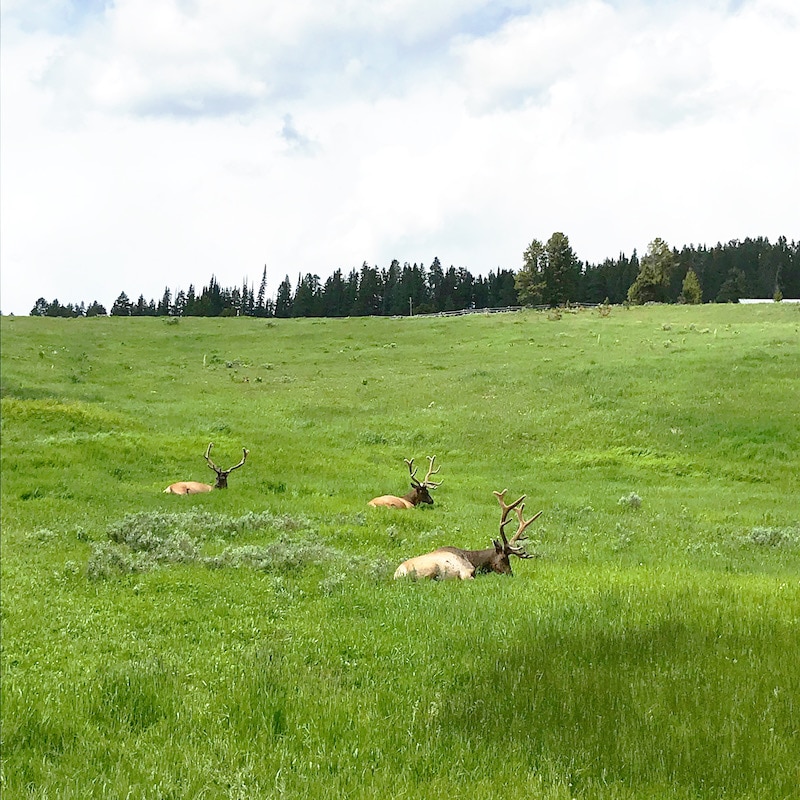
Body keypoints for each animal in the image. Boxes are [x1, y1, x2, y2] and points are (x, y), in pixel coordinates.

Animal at [394, 488, 544, 580]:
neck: (475, 562)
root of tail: (398, 574)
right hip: (430, 569)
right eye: (503, 559)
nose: (510, 574)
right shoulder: (465, 572)